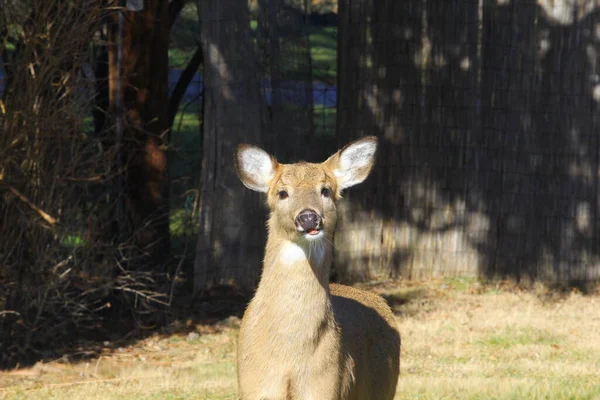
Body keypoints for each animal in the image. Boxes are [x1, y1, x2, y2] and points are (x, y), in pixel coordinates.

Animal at [233, 136, 398, 398]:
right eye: (282, 193)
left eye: (325, 190)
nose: (309, 217)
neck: (288, 357)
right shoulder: (255, 388)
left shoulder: (326, 385)